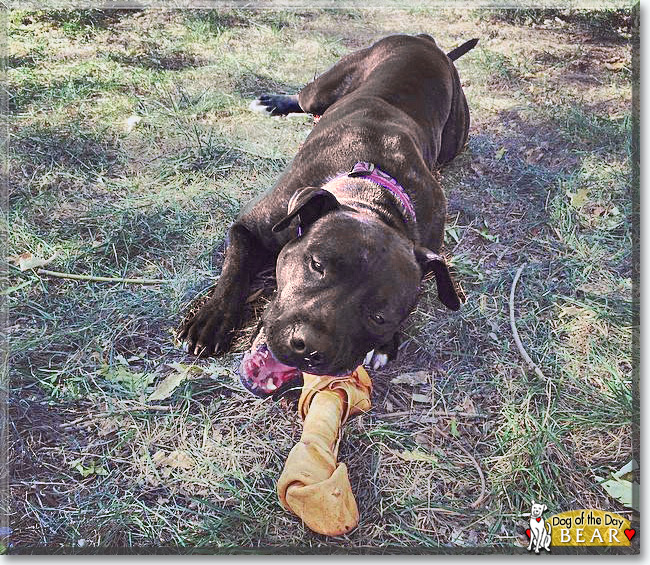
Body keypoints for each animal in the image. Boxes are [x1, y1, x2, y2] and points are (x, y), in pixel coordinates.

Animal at [177, 34, 476, 396]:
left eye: (380, 317)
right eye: (317, 265)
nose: (308, 346)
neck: (374, 197)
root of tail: (425, 41)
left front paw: (385, 345)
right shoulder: (248, 227)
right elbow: (234, 270)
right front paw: (211, 320)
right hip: (324, 88)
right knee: (305, 98)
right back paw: (274, 102)